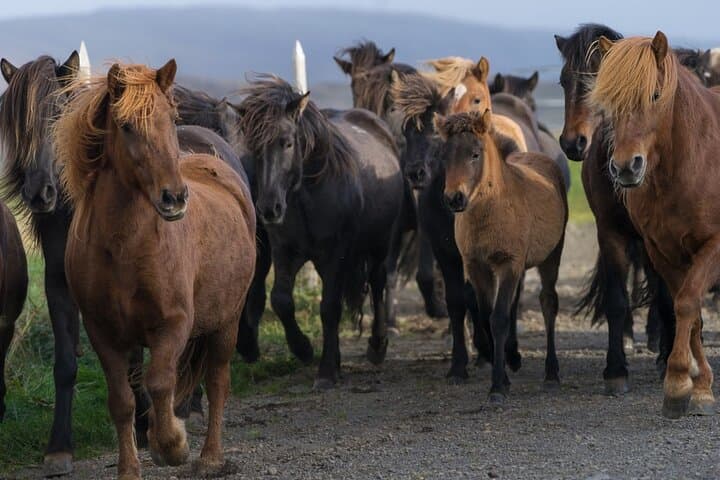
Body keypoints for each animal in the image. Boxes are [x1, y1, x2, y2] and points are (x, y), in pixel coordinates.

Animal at [54, 60, 256, 478]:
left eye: (171, 119)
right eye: (126, 125)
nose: (174, 197)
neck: (125, 249)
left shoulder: (172, 324)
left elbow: (161, 382)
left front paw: (172, 446)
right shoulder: (104, 333)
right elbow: (122, 401)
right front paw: (130, 468)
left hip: (226, 323)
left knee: (217, 382)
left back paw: (210, 458)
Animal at [237, 75, 404, 388]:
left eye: (288, 143)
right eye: (254, 149)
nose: (269, 208)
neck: (307, 197)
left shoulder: (335, 254)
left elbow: (329, 307)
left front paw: (326, 371)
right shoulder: (285, 251)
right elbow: (282, 301)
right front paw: (304, 349)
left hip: (378, 245)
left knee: (377, 284)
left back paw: (377, 346)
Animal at [435, 110, 567, 403]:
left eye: (475, 154)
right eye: (444, 156)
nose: (454, 198)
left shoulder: (509, 264)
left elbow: (499, 318)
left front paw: (497, 386)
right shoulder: (477, 267)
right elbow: (486, 316)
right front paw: (504, 372)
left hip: (551, 256)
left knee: (548, 303)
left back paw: (552, 373)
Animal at [555, 23, 675, 394]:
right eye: (563, 81)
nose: (573, 143)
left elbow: (665, 294)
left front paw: (668, 360)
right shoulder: (609, 232)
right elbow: (616, 300)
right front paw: (615, 370)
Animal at [590, 32, 720, 418]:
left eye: (654, 95)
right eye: (608, 102)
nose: (624, 167)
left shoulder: (713, 245)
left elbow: (688, 303)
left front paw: (678, 382)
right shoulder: (662, 251)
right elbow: (687, 311)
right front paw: (696, 385)